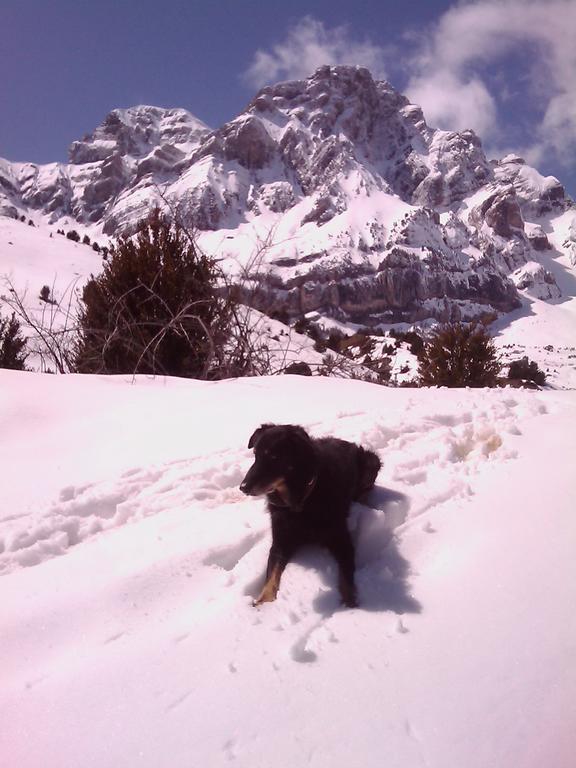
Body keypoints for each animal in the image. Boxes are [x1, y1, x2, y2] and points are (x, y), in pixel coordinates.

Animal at [240, 424, 380, 608]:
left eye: (274, 457)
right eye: (255, 455)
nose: (243, 487)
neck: (301, 501)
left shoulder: (342, 540)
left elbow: (346, 578)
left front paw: (349, 606)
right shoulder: (280, 542)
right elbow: (271, 575)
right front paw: (263, 602)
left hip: (372, 461)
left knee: (365, 491)